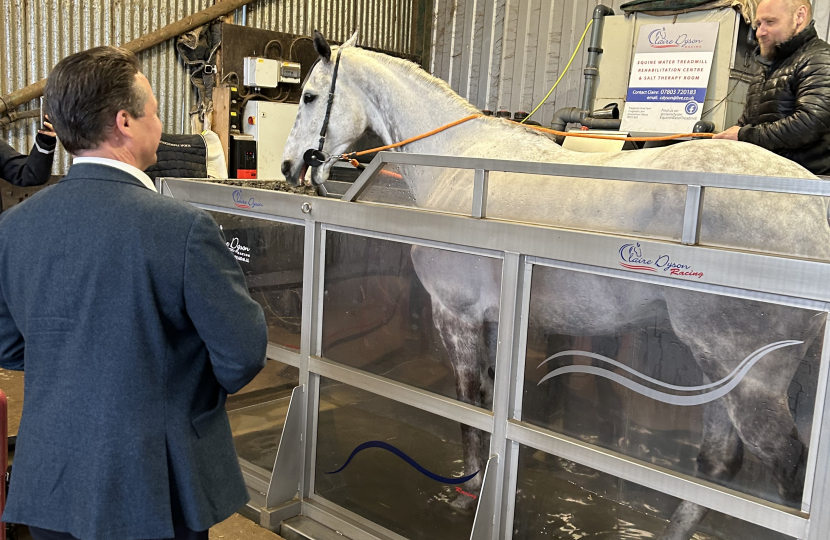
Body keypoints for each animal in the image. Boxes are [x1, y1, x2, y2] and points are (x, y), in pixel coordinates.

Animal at [282, 32, 830, 540]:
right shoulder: (493, 322)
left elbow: (468, 403)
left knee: (784, 468)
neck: (459, 160)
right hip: (719, 371)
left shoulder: (456, 315)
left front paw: (468, 491)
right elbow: (489, 395)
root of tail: (813, 210)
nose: (289, 167)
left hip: (749, 378)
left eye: (309, 96)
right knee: (717, 463)